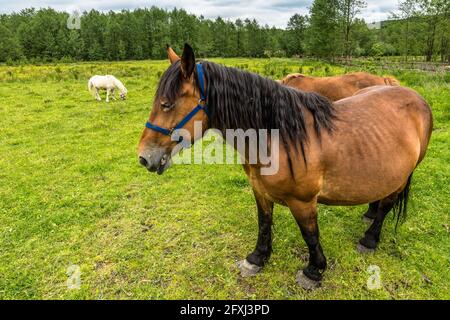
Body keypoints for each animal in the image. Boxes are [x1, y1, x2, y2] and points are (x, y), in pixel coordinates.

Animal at [137, 43, 432, 288]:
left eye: (166, 104)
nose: (143, 157)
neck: (277, 138)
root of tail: (412, 95)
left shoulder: (303, 202)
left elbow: (310, 234)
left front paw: (314, 271)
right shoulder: (260, 191)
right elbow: (264, 223)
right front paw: (257, 258)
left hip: (403, 175)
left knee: (387, 204)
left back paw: (370, 239)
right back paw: (369, 212)